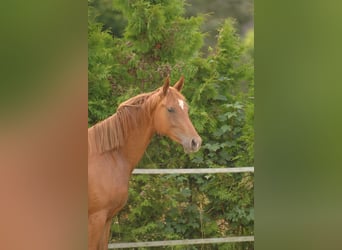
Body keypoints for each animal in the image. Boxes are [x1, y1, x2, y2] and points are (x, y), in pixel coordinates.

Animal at [87, 76, 200, 250]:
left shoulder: (107, 220)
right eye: (170, 109)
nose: (195, 142)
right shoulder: (96, 220)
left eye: (186, 109)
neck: (108, 157)